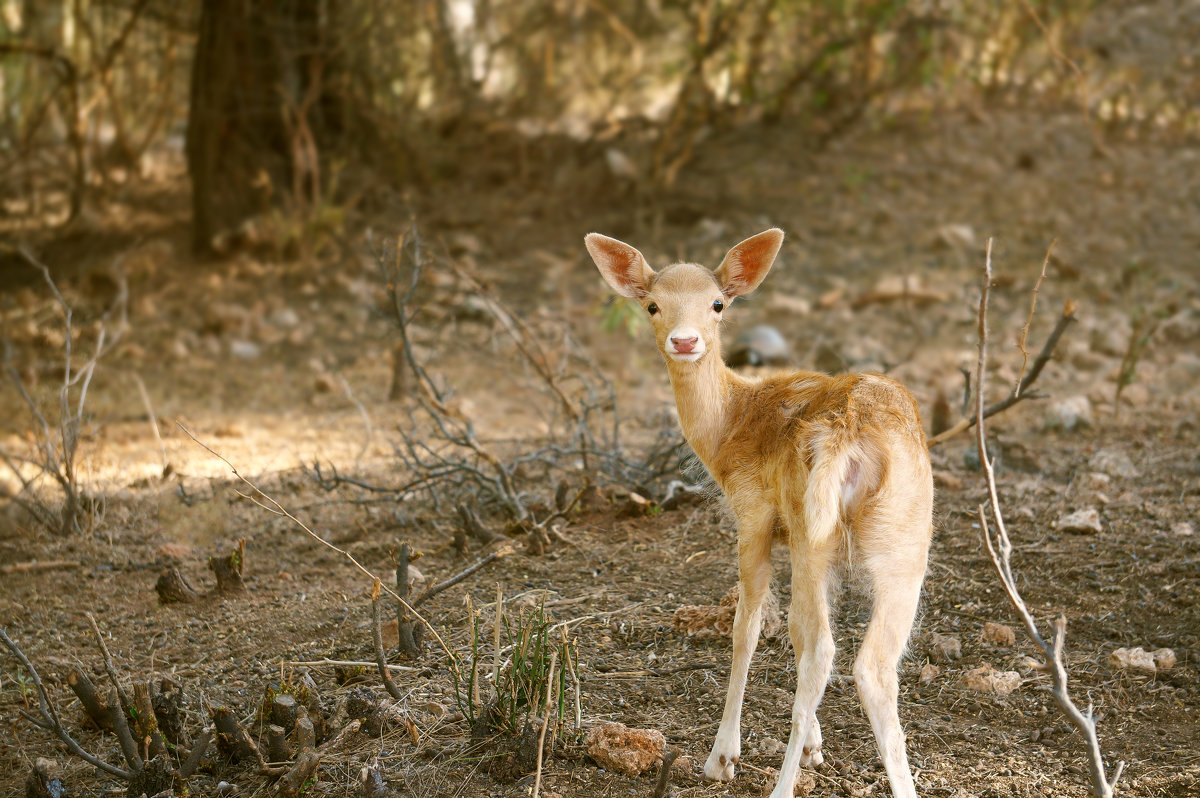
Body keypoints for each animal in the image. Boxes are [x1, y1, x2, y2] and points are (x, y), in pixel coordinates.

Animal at [585, 225, 931, 796]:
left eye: (718, 303)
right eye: (652, 304)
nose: (685, 340)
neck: (729, 428)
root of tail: (849, 435)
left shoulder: (754, 513)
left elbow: (747, 628)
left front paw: (723, 756)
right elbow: (790, 629)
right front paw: (815, 747)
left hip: (817, 532)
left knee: (826, 653)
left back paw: (778, 785)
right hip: (903, 535)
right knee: (873, 664)